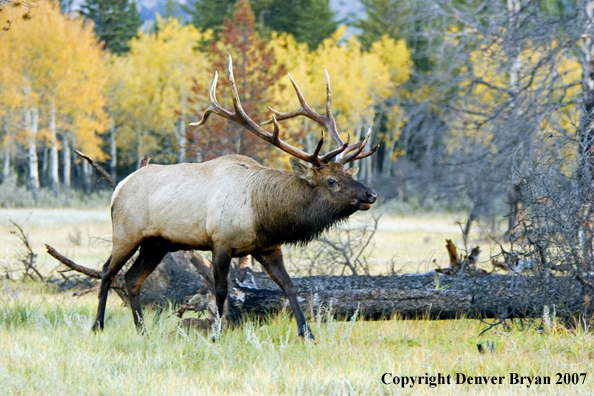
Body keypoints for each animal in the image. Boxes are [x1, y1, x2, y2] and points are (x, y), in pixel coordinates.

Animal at [93, 56, 376, 340]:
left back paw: (142, 330)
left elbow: (289, 286)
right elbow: (221, 291)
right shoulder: (221, 241)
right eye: (331, 181)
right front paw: (216, 334)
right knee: (107, 271)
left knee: (132, 278)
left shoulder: (268, 247)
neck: (264, 215)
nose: (370, 194)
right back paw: (98, 325)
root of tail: (118, 188)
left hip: (157, 243)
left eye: (347, 173)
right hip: (126, 233)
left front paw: (307, 334)